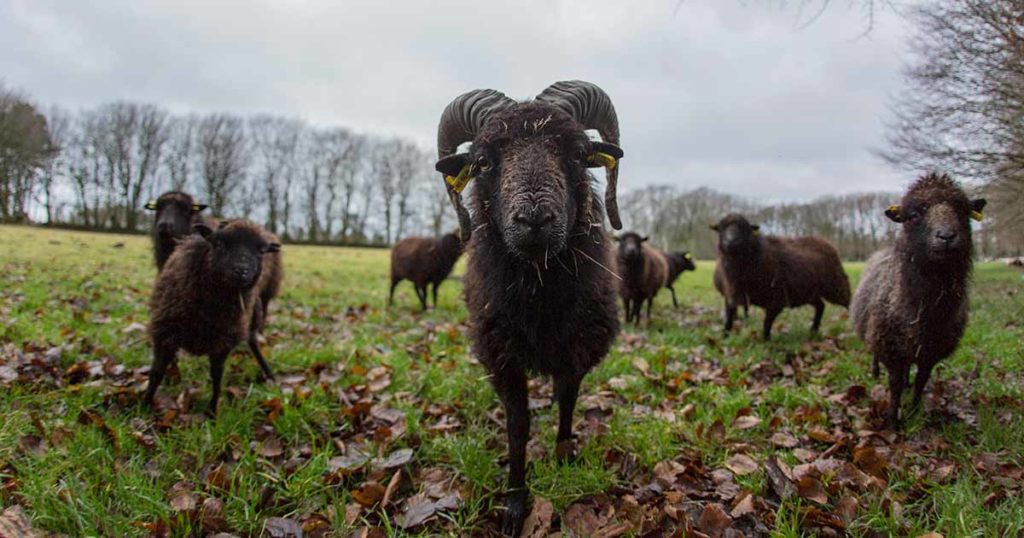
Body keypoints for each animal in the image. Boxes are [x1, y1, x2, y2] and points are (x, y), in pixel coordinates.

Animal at [146, 218, 282, 411]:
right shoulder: (164, 333)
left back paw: (269, 374)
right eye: (218, 244)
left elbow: (217, 377)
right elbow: (157, 372)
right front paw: (144, 405)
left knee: (253, 342)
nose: (241, 270)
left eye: (261, 251)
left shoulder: (223, 342)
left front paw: (213, 410)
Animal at [434, 78, 622, 532]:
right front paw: (516, 501)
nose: (534, 221)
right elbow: (517, 427)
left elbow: (569, 402)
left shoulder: (578, 349)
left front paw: (563, 456)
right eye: (482, 162)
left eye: (579, 154)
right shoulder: (501, 355)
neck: (540, 297)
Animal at [708, 214, 851, 340]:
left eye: (745, 228)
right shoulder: (731, 295)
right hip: (809, 292)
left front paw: (765, 341)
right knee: (821, 306)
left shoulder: (776, 299)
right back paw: (813, 331)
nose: (731, 241)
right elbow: (729, 320)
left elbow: (767, 323)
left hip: (836, 286)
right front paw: (724, 338)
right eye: (721, 228)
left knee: (849, 302)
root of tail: (824, 241)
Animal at [847, 172, 983, 428]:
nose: (946, 236)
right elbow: (894, 386)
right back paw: (875, 372)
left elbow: (921, 380)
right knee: (876, 357)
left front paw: (913, 410)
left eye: (963, 211)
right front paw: (892, 422)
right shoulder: (889, 348)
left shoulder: (931, 352)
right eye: (913, 215)